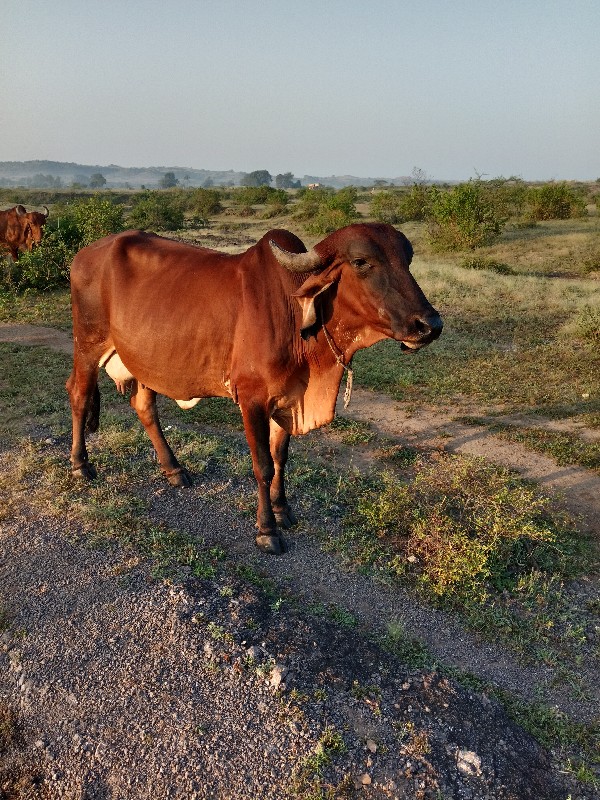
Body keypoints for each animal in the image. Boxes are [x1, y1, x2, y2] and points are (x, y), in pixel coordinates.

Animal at [68, 222, 442, 552]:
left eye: (406, 260)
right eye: (362, 262)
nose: (430, 325)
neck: (294, 319)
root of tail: (85, 253)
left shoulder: (289, 398)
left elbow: (280, 457)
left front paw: (282, 509)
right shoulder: (252, 400)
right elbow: (262, 464)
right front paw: (267, 530)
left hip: (144, 362)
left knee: (144, 406)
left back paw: (174, 469)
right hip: (88, 344)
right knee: (79, 394)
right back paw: (80, 465)